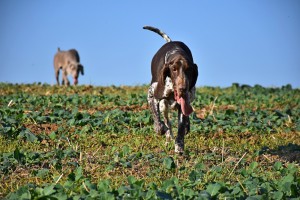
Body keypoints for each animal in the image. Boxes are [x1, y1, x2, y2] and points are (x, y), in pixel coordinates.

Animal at [144, 25, 198, 153]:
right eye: (174, 69)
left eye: (189, 70)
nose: (183, 88)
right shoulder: (151, 95)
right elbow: (158, 122)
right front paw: (161, 129)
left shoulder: (185, 102)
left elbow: (181, 127)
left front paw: (179, 147)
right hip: (163, 105)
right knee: (166, 120)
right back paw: (168, 136)